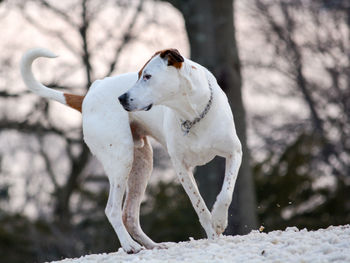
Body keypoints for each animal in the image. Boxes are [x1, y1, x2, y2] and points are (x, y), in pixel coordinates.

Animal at [20, 48, 242, 255]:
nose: (121, 98)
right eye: (138, 75)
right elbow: (200, 206)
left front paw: (219, 220)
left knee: (129, 215)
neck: (193, 114)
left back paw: (153, 245)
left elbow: (226, 193)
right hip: (122, 159)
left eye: (147, 76)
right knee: (112, 210)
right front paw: (213, 231)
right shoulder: (181, 168)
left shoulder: (234, 153)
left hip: (142, 164)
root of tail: (88, 95)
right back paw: (129, 245)